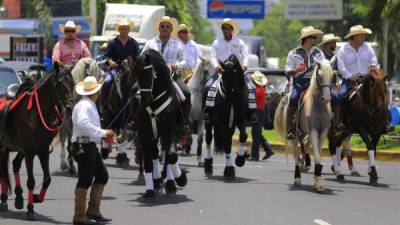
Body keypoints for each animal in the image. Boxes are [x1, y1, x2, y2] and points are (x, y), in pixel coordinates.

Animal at [0, 63, 75, 220]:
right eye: (59, 83)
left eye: (72, 83)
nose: (70, 108)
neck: (34, 114)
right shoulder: (29, 153)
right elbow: (31, 181)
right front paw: (30, 209)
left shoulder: (42, 151)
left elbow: (47, 179)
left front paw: (35, 198)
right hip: (4, 148)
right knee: (2, 171)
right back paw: (4, 200)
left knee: (14, 165)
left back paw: (17, 198)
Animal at [133, 49, 186, 199]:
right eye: (136, 75)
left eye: (149, 73)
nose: (145, 100)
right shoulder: (144, 133)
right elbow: (148, 161)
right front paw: (149, 191)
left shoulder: (171, 132)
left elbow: (172, 156)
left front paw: (181, 179)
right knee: (155, 154)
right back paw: (157, 182)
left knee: (167, 155)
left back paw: (170, 184)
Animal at [276, 59, 334, 192]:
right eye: (319, 76)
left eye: (333, 76)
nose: (327, 98)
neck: (318, 105)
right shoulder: (313, 130)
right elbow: (316, 156)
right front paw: (318, 183)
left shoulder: (322, 132)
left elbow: (317, 154)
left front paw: (317, 181)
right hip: (294, 134)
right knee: (296, 154)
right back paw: (297, 177)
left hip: (303, 132)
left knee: (305, 146)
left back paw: (305, 164)